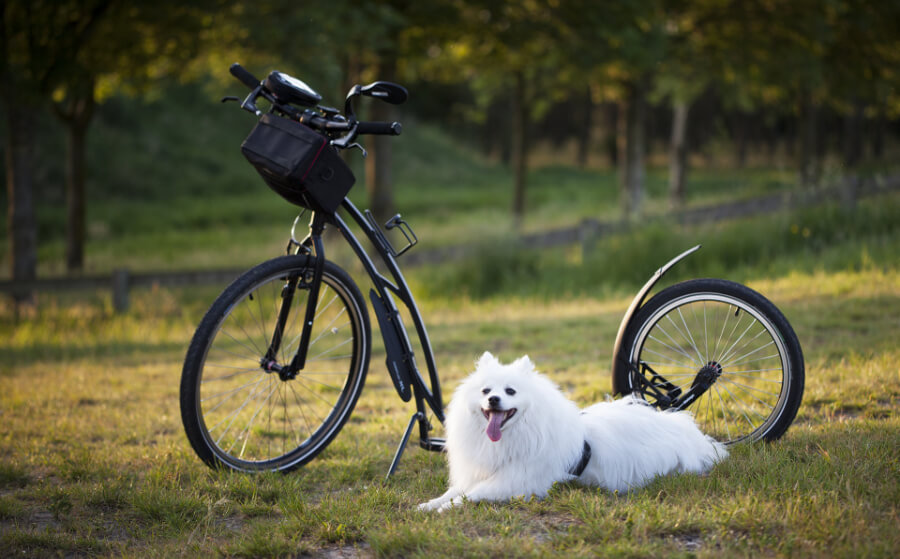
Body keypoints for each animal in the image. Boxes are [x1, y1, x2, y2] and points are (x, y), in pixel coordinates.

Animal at [418, 354, 728, 512]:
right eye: (485, 391)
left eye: (510, 391)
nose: (494, 400)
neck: (513, 435)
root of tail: (689, 429)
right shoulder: (481, 472)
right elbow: (453, 491)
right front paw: (428, 504)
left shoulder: (516, 480)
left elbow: (471, 494)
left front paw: (446, 509)